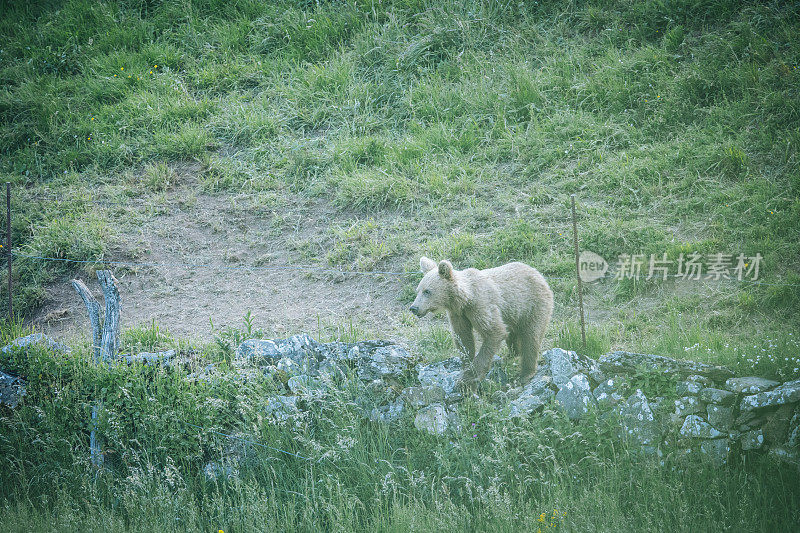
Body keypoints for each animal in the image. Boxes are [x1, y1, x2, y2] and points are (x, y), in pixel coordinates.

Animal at [410, 258, 552, 390]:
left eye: (427, 291)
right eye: (418, 290)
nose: (414, 308)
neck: (465, 298)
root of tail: (538, 273)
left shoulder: (480, 305)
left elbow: (494, 332)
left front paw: (467, 378)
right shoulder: (458, 314)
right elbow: (463, 339)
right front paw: (466, 366)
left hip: (533, 305)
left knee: (531, 337)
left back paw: (526, 374)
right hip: (513, 315)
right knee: (513, 336)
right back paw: (509, 356)